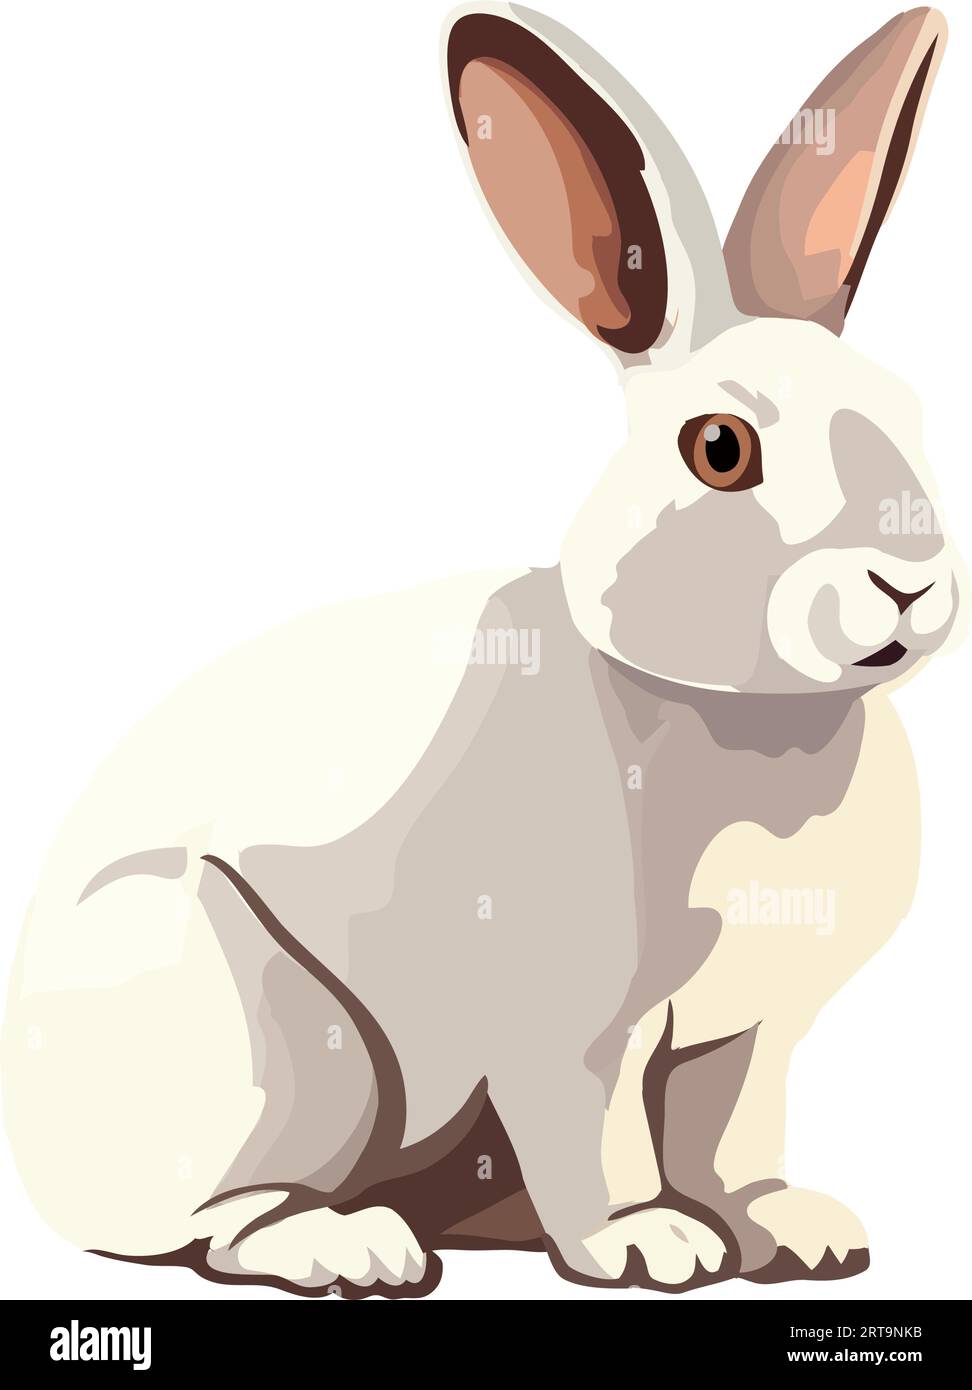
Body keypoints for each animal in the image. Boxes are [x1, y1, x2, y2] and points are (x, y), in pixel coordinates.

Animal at [2, 3, 964, 1299]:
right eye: (720, 449)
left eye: (911, 416)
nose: (905, 584)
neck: (741, 714)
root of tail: (34, 1143)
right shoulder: (578, 1034)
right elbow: (603, 1141)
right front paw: (648, 1242)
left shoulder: (750, 1032)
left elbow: (733, 1138)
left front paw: (798, 1232)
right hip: (278, 1034)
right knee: (222, 1216)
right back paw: (352, 1242)